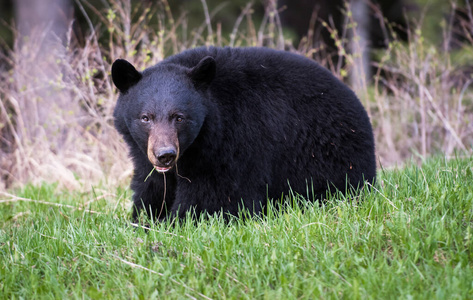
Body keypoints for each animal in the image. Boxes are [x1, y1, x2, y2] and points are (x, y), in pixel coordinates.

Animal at [111, 47, 376, 220]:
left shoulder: (234, 145)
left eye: (179, 117)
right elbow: (151, 187)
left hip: (327, 157)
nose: (165, 154)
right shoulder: (145, 157)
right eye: (145, 118)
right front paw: (144, 219)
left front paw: (175, 223)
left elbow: (216, 200)